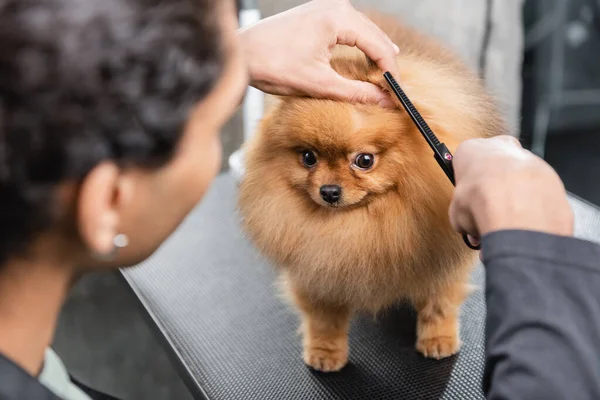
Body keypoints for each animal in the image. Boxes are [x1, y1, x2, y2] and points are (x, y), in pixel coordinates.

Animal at [238, 10, 506, 372]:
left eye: (364, 160)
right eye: (308, 158)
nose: (329, 191)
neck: (366, 224)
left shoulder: (441, 260)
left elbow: (438, 304)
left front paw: (438, 340)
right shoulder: (316, 270)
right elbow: (324, 317)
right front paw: (325, 353)